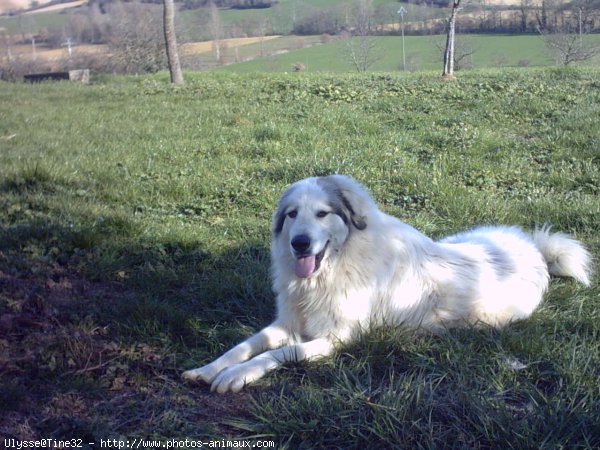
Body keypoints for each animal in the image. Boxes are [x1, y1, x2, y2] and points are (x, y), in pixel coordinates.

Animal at [182, 176, 592, 394]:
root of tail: (535, 249)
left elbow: (277, 354)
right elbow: (244, 345)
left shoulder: (337, 338)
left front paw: (236, 376)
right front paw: (210, 368)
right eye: (293, 214)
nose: (299, 243)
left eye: (323, 214)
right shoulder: (286, 323)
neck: (336, 266)